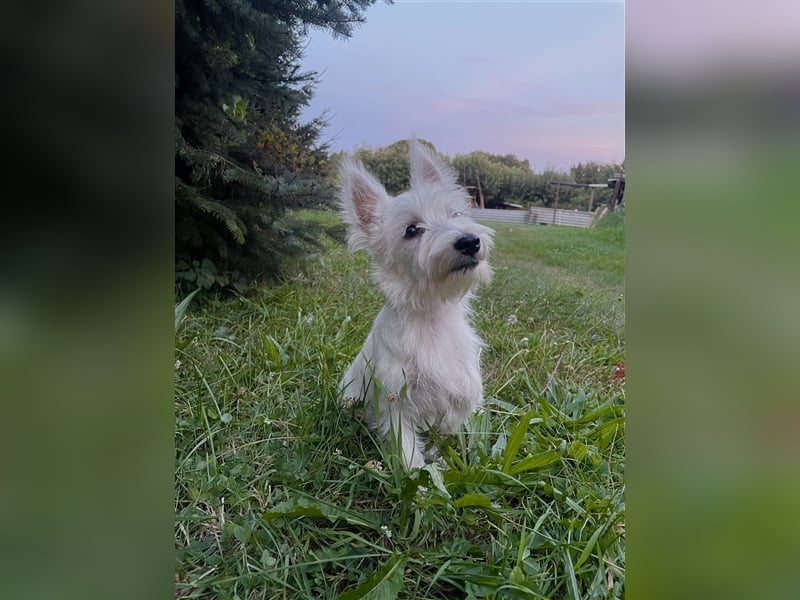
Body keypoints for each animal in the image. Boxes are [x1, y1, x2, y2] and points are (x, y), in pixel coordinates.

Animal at [340, 141, 494, 468]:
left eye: (455, 213)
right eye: (411, 230)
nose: (469, 241)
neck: (432, 316)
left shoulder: (462, 389)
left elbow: (452, 421)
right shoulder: (396, 403)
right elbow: (408, 451)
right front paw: (419, 477)